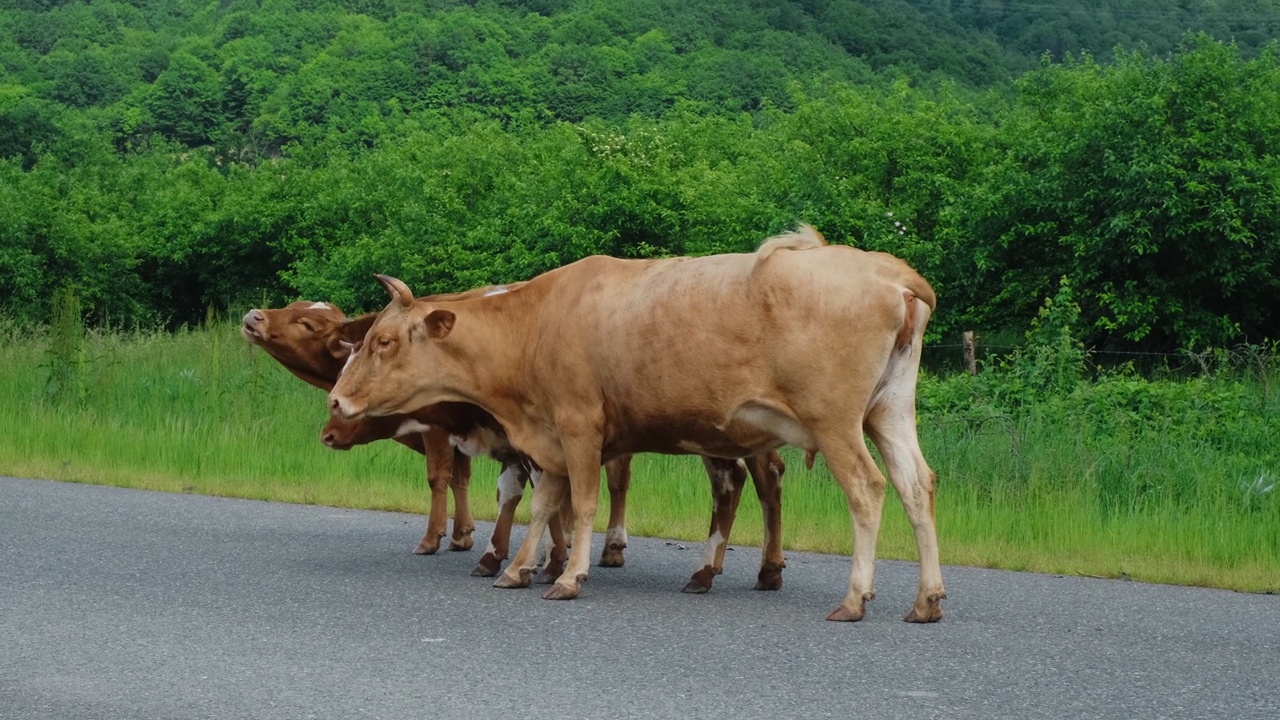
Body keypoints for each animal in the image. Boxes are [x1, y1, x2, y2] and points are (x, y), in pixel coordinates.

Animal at [243, 295, 783, 589]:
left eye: (308, 322)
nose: (253, 316)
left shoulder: (468, 433)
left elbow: (468, 482)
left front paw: (459, 544)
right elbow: (503, 487)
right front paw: (495, 545)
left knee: (748, 482)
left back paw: (734, 568)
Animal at [327, 226, 952, 620]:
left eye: (383, 341)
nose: (334, 403)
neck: (534, 326)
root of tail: (890, 271)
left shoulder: (578, 425)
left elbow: (580, 504)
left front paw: (568, 576)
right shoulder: (549, 438)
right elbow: (543, 505)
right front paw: (519, 568)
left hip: (835, 420)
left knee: (867, 489)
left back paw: (855, 598)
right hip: (890, 410)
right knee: (916, 484)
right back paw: (925, 601)